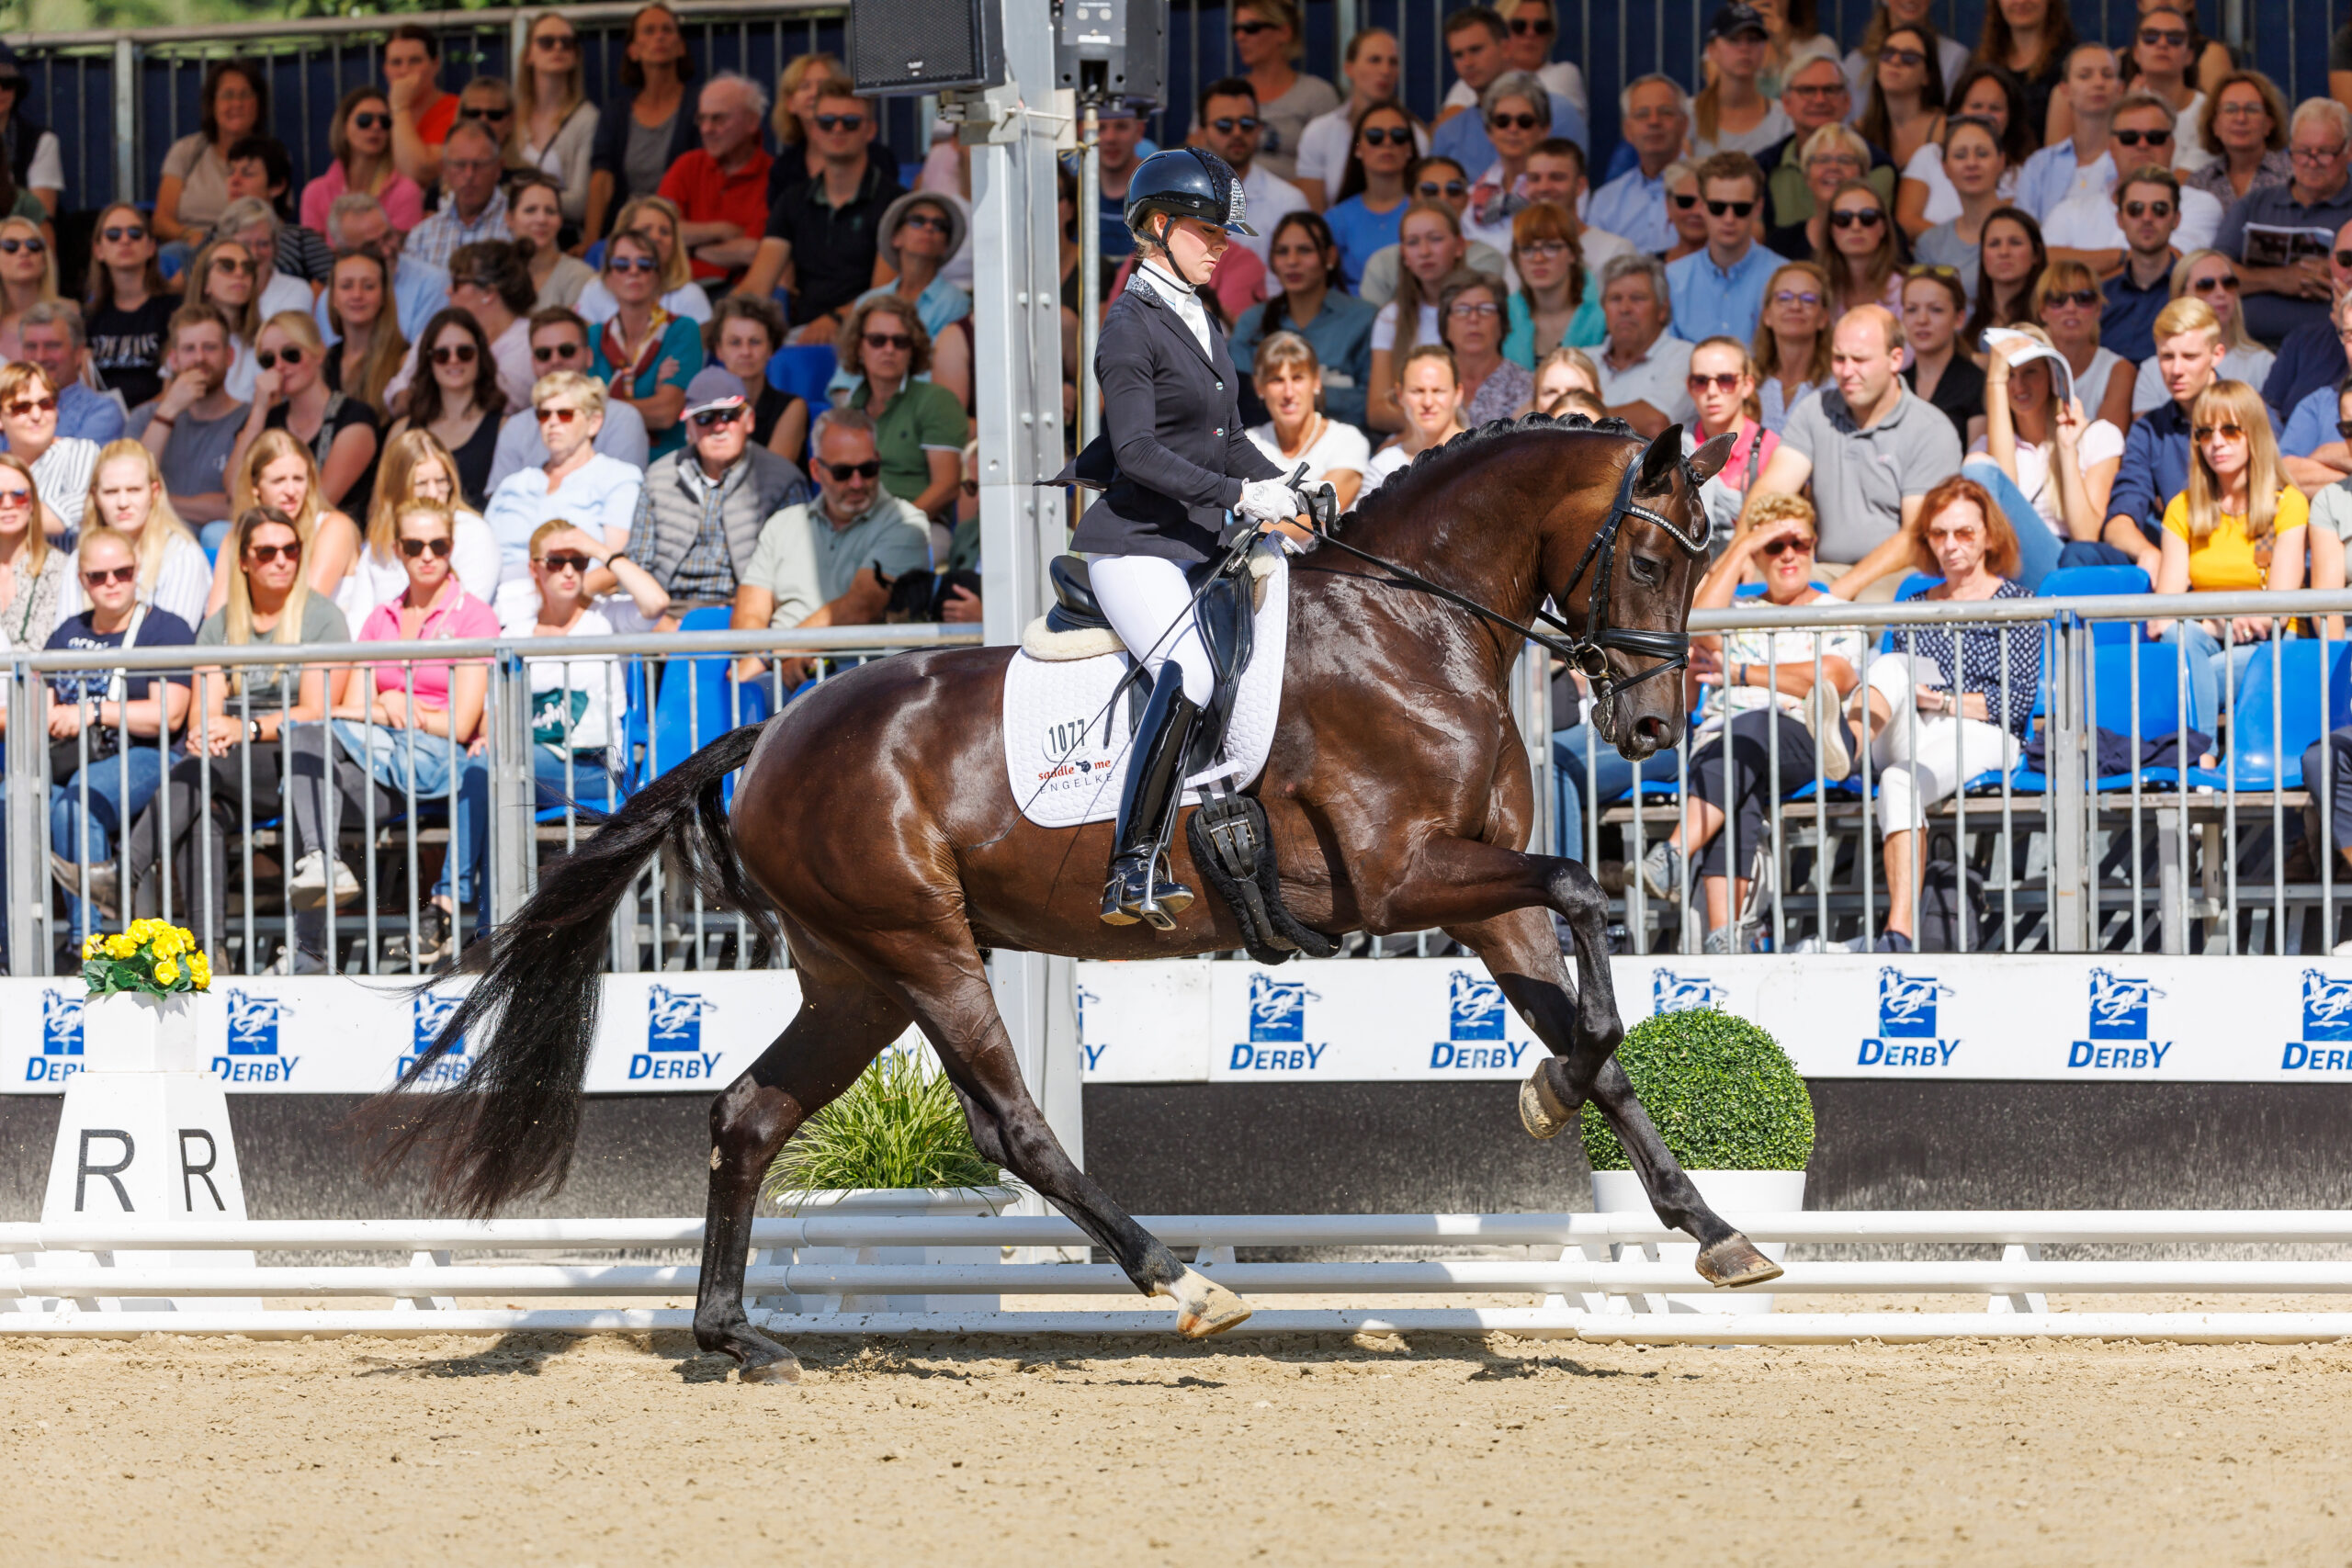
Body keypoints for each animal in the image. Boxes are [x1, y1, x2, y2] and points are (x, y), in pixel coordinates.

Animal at [377, 414, 1775, 1384]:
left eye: (1705, 560)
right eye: (1649, 556)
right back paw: (1178, 1281)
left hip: (854, 976)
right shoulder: (1399, 875)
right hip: (924, 949)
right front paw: (1551, 1098)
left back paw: (735, 1337)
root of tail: (769, 733)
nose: (1652, 728)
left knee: (750, 1113)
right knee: (1011, 1126)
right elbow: (1586, 897)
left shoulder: (1482, 894)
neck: (1412, 628)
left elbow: (1597, 1024)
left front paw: (1712, 1228)